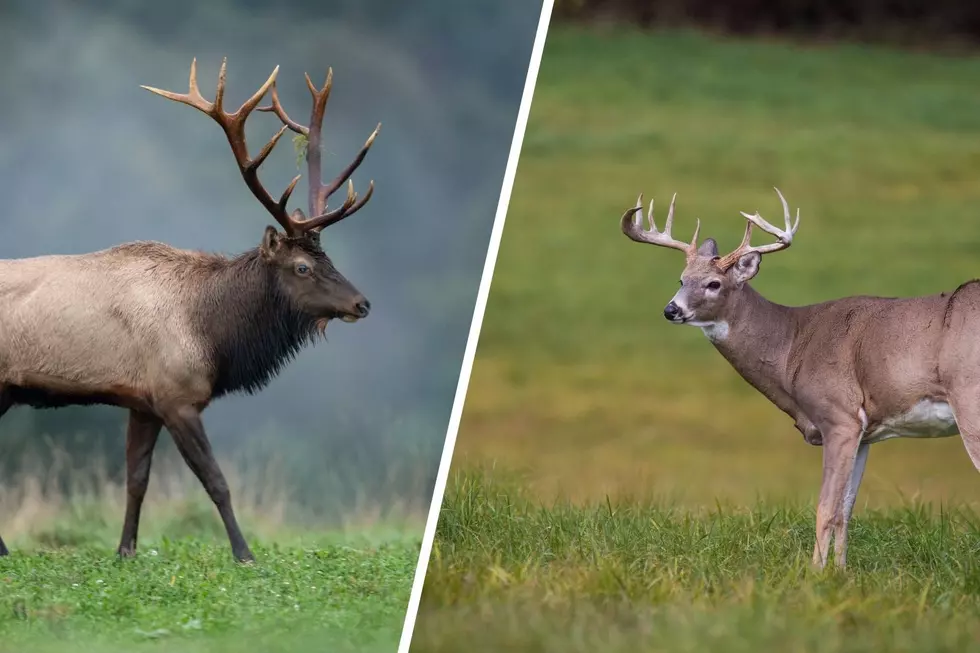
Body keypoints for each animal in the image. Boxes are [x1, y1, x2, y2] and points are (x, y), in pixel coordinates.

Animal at [0, 58, 381, 563]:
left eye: (329, 259)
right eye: (302, 266)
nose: (362, 303)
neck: (213, 334)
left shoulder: (142, 401)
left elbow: (136, 480)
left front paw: (125, 551)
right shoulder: (177, 396)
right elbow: (216, 481)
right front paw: (244, 553)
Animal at [621, 187, 980, 570]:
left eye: (714, 283)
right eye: (681, 279)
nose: (671, 309)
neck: (792, 345)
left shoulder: (838, 416)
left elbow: (825, 508)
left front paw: (814, 574)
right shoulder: (865, 432)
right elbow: (845, 510)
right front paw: (841, 572)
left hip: (969, 400)